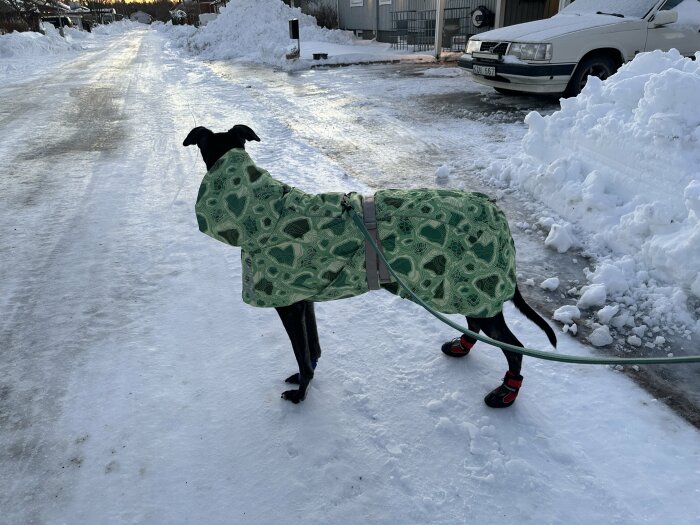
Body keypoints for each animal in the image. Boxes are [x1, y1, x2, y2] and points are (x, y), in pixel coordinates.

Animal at [183, 125, 556, 408]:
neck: (267, 212)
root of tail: (498, 214)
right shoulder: (304, 302)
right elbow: (312, 350)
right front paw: (307, 377)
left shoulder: (289, 306)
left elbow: (303, 355)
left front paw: (301, 394)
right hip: (464, 289)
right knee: (478, 324)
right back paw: (461, 347)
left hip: (477, 289)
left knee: (515, 349)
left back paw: (506, 391)